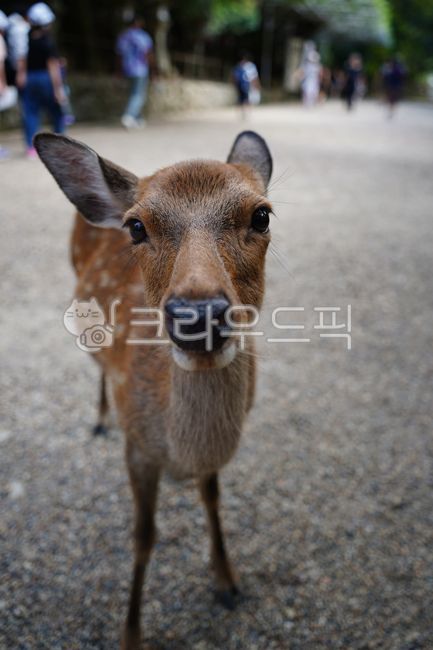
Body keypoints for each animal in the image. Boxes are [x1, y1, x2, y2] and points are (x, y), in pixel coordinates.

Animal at [34, 129, 273, 649]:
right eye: (137, 227)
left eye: (261, 215)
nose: (198, 315)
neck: (178, 447)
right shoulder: (139, 447)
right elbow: (143, 537)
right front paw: (131, 632)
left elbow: (212, 499)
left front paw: (227, 581)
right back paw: (101, 416)